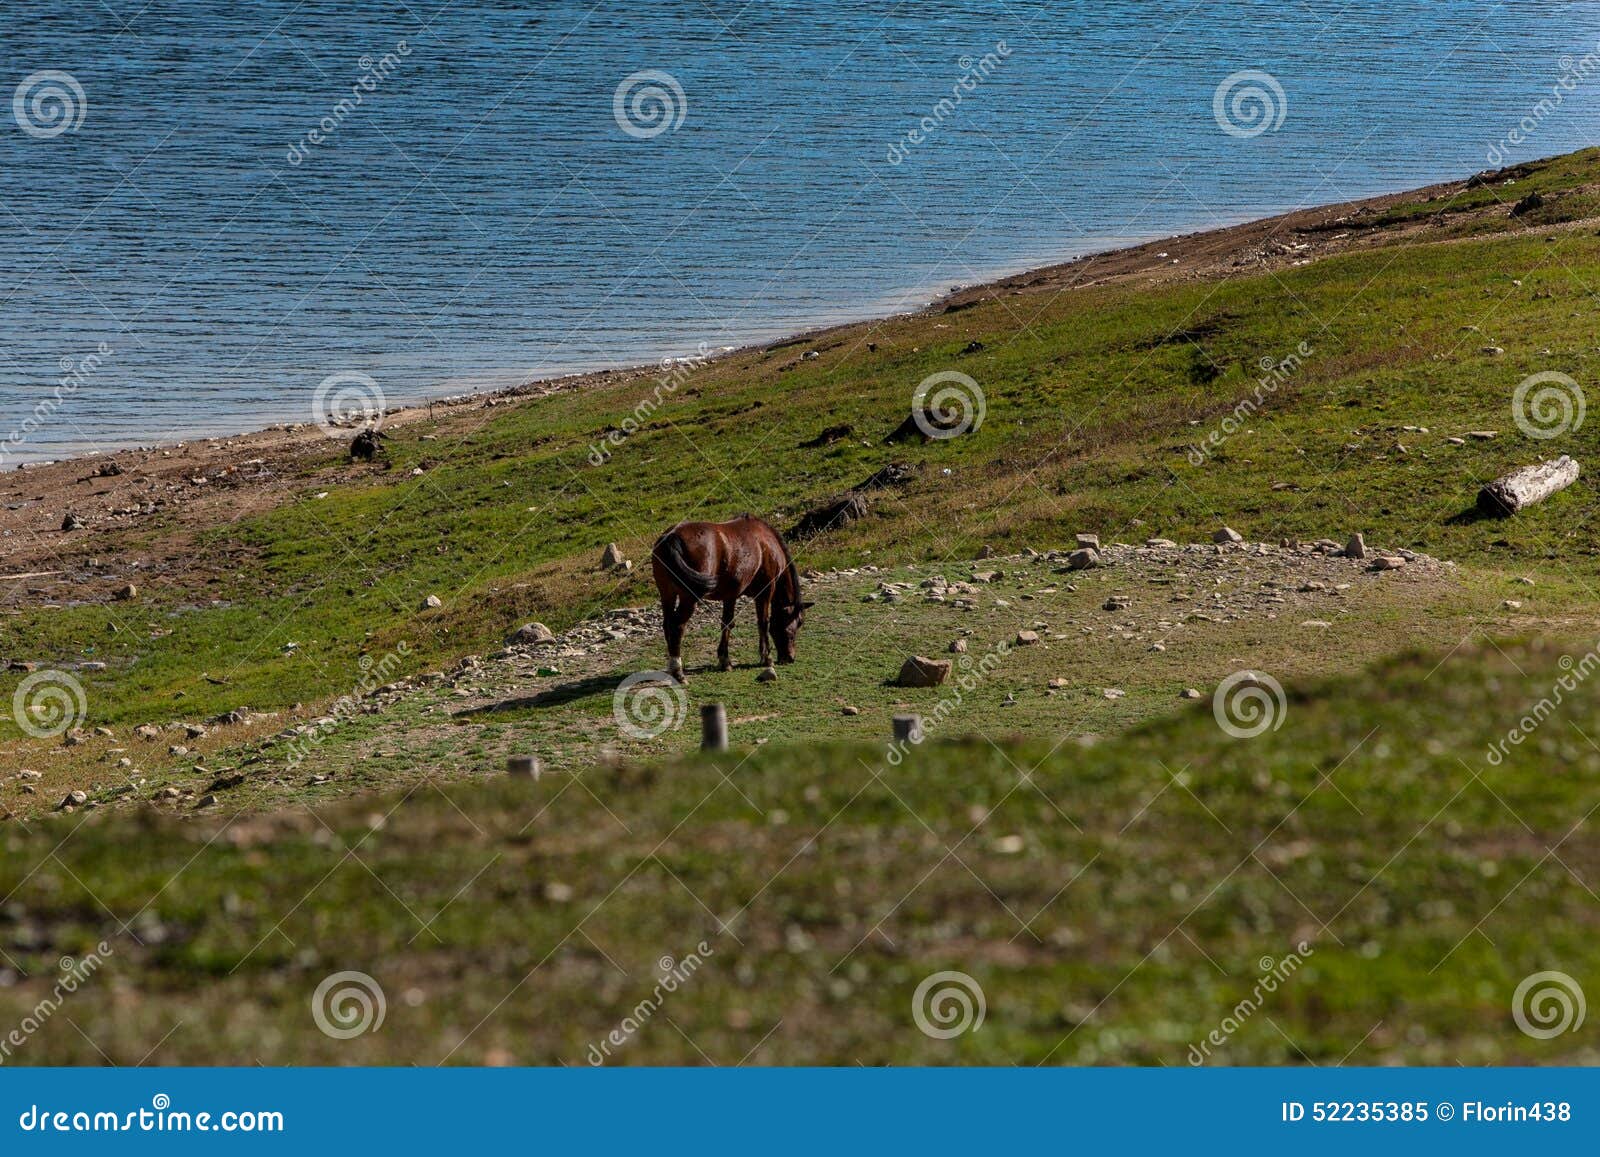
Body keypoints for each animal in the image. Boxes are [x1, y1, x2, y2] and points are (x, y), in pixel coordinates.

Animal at [649, 512, 812, 684]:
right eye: (798, 623)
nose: (790, 658)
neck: (766, 543)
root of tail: (672, 536)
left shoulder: (730, 595)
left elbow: (727, 623)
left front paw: (725, 660)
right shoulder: (765, 591)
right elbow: (763, 622)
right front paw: (766, 657)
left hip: (667, 594)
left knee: (667, 625)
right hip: (688, 598)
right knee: (677, 626)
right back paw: (678, 671)